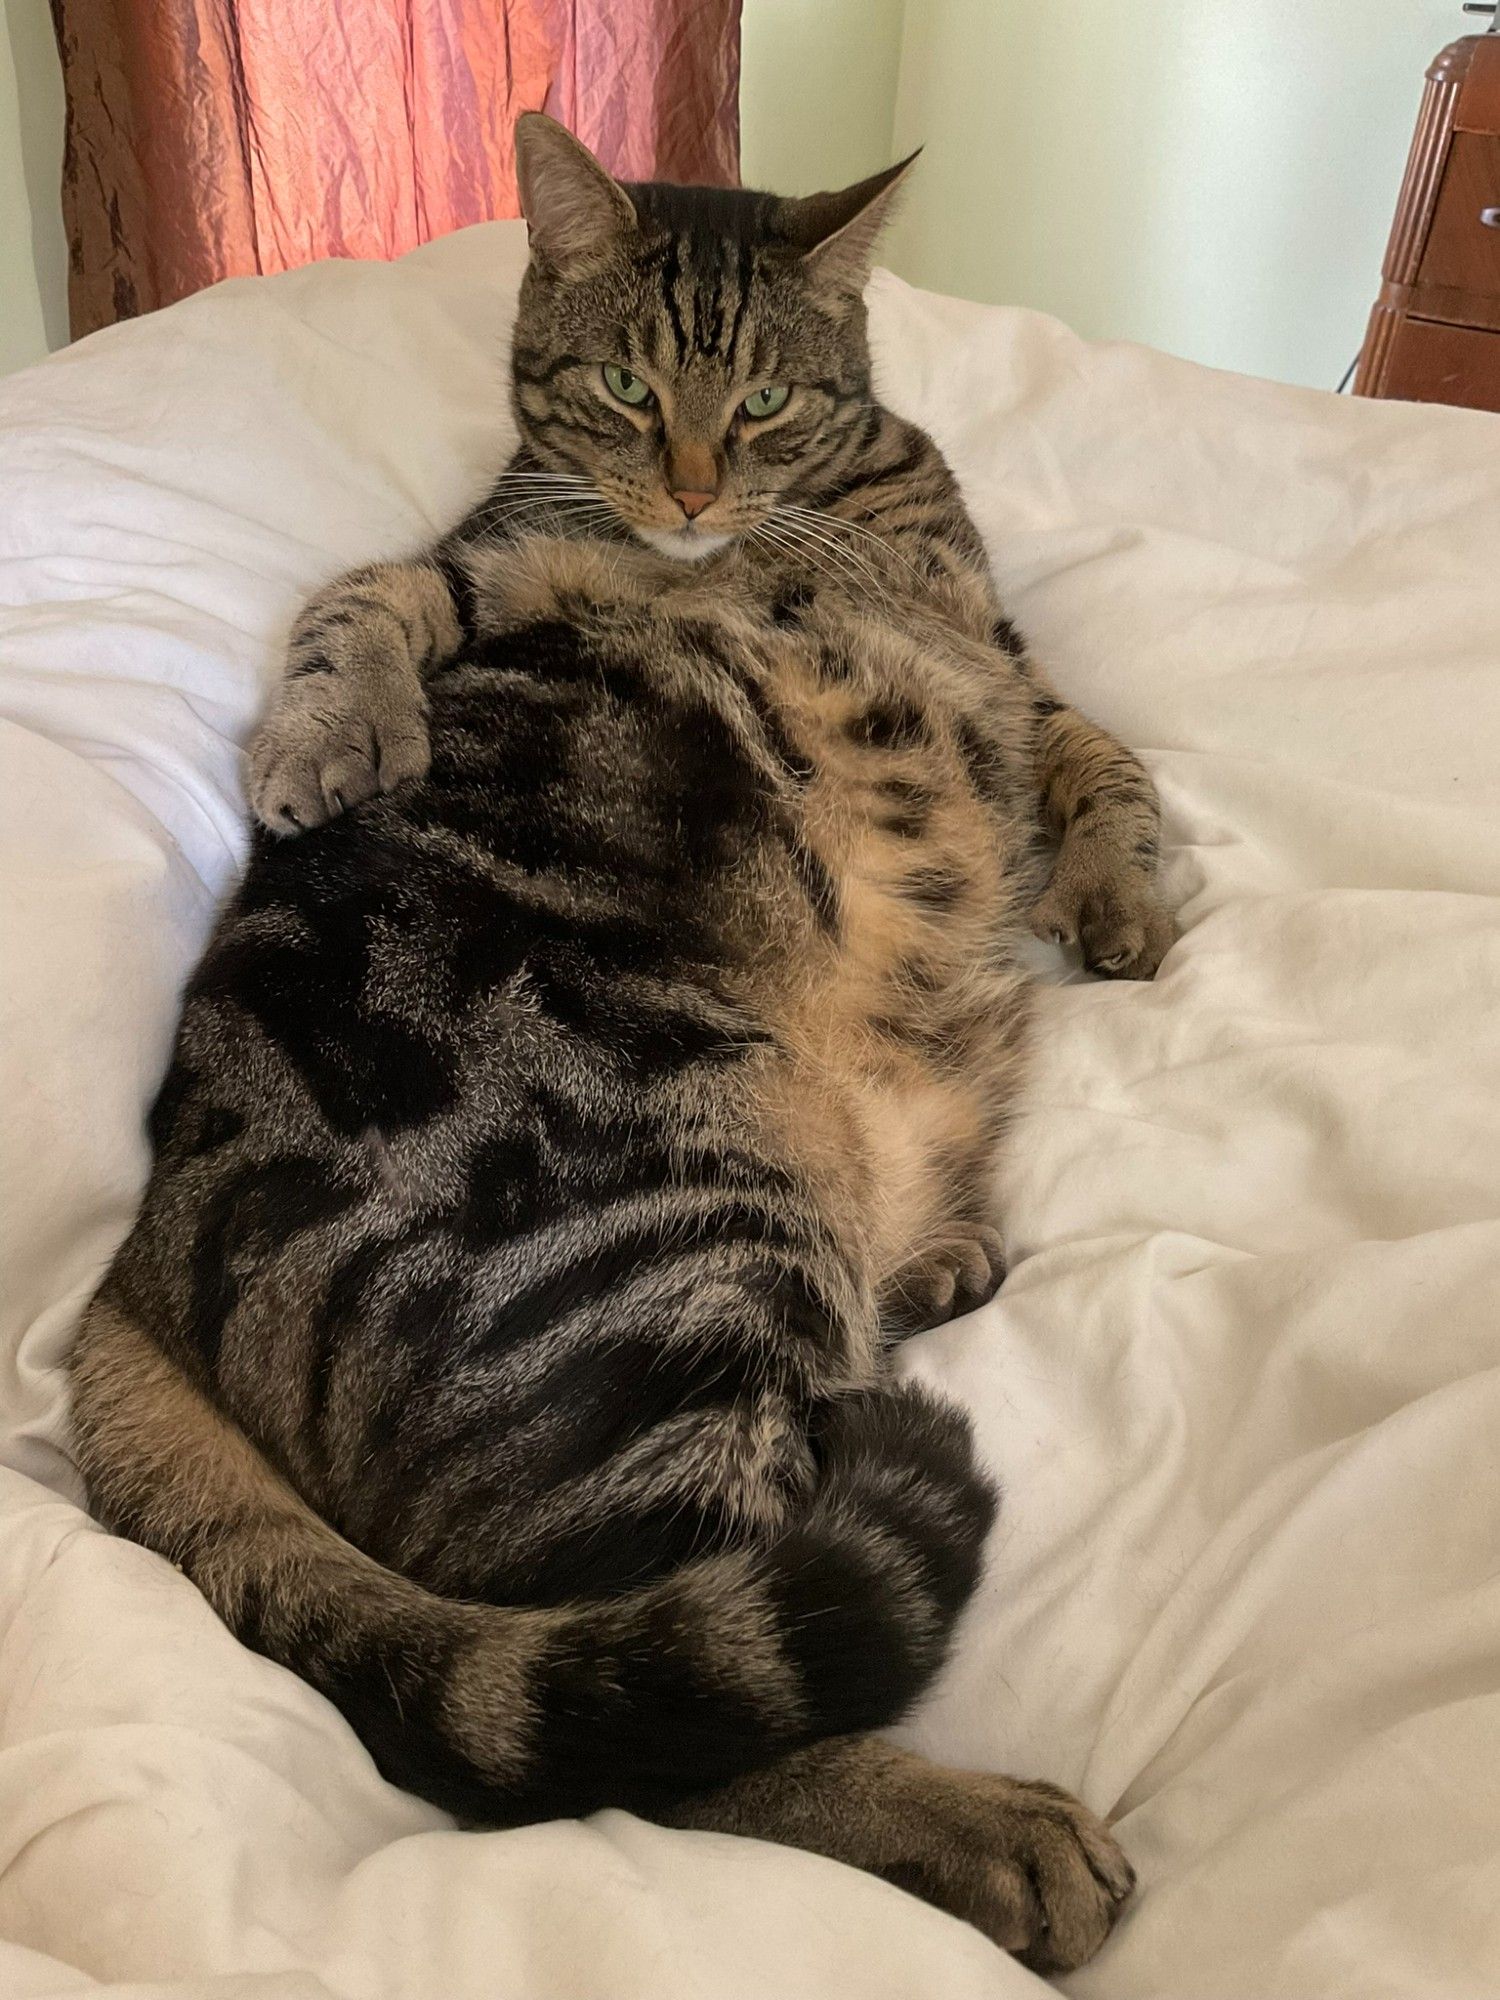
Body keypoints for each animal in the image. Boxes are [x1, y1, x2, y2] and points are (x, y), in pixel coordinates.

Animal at [70, 117, 1176, 1976]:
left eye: (768, 404)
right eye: (623, 386)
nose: (693, 494)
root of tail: (126, 1283)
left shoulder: (1005, 664)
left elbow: (1105, 754)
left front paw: (1124, 898)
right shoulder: (485, 563)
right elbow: (356, 600)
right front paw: (334, 734)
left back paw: (934, 1261)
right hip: (696, 1251)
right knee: (677, 1724)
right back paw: (992, 1832)